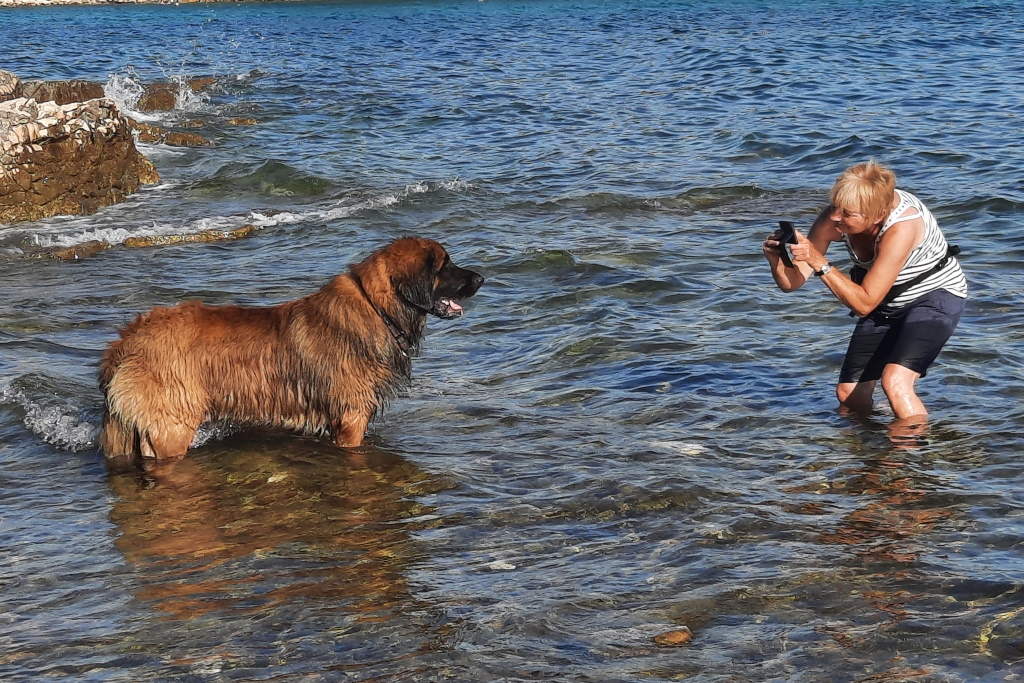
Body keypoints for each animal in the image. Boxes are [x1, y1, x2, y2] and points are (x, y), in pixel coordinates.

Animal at [99, 236, 483, 464]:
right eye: (444, 266)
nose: (481, 279)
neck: (376, 307)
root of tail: (127, 338)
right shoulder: (351, 419)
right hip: (173, 426)